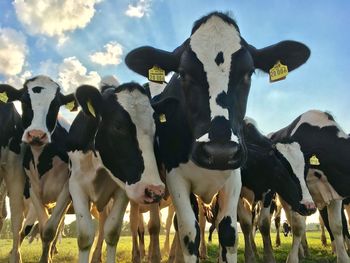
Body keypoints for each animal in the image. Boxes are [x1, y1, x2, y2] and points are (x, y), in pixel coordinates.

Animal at [0, 76, 77, 263]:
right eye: (24, 101)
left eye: (56, 104)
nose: (36, 135)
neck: (44, 162)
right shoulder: (32, 190)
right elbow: (40, 229)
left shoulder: (66, 191)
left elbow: (49, 230)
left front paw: (46, 258)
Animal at [67, 81, 165, 262]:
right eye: (118, 126)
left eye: (156, 128)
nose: (154, 191)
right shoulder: (75, 185)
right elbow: (85, 236)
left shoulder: (122, 190)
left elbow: (111, 233)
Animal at [125, 11, 308, 262]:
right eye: (184, 74)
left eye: (248, 73)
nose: (219, 152)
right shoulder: (176, 178)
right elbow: (189, 231)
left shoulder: (234, 178)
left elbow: (229, 232)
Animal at [270, 109, 350, 263]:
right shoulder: (295, 194)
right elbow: (298, 226)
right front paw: (292, 258)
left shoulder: (334, 190)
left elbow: (337, 225)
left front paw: (343, 257)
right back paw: (300, 251)